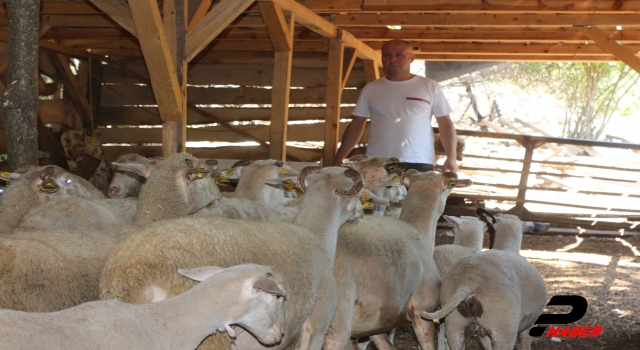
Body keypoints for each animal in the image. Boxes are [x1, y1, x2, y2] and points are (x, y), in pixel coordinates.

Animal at [422, 213, 548, 350]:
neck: (508, 248)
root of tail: (469, 282)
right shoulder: (531, 322)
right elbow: (525, 343)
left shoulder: (482, 333)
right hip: (503, 327)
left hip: (454, 324)